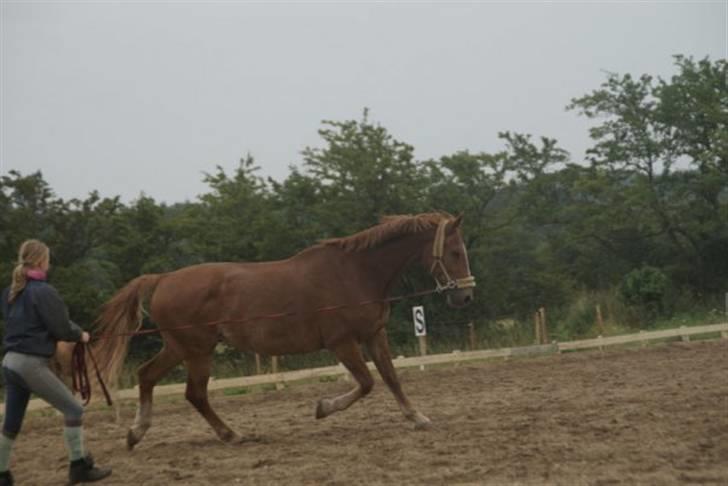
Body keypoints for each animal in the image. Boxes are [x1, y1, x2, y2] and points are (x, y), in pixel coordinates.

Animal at [91, 211, 474, 450]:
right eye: (455, 252)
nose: (466, 295)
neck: (356, 273)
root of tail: (164, 279)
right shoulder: (342, 343)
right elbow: (366, 383)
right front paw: (323, 407)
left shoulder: (373, 335)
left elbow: (391, 378)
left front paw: (417, 417)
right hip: (197, 351)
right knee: (195, 394)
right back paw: (230, 435)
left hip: (178, 347)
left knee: (146, 376)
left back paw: (136, 433)